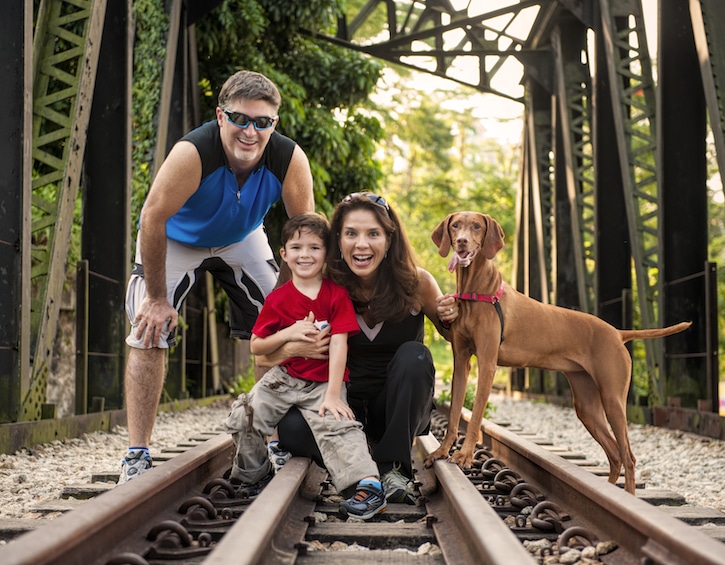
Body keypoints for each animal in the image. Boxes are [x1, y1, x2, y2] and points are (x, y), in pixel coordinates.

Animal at [428, 212, 692, 494]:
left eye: (477, 226)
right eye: (456, 225)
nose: (462, 241)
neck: (475, 291)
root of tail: (618, 333)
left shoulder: (488, 363)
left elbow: (475, 415)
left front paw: (465, 455)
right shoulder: (461, 362)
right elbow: (455, 413)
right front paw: (442, 451)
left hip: (613, 399)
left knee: (628, 456)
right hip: (587, 405)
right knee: (614, 454)